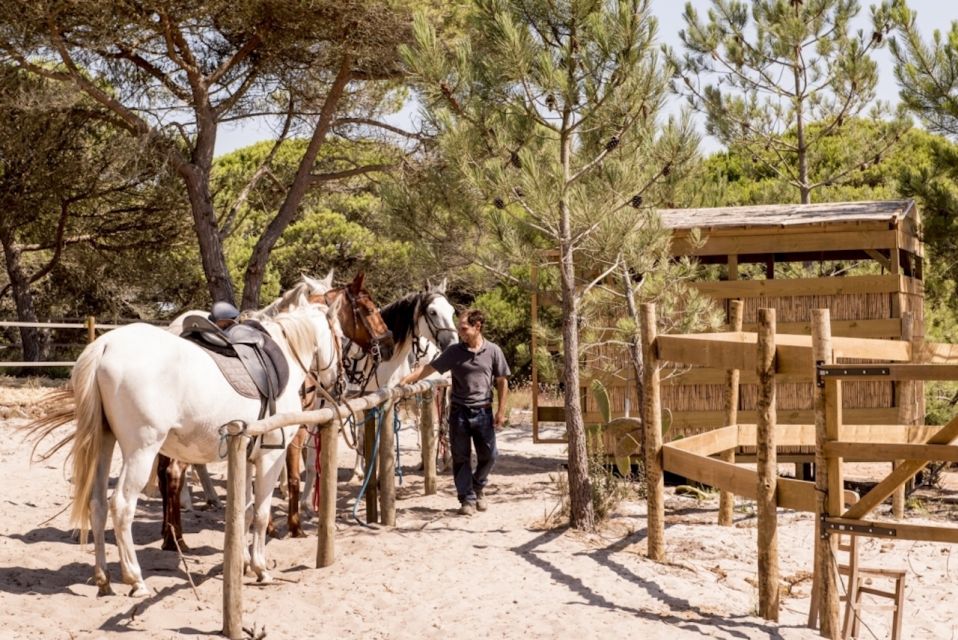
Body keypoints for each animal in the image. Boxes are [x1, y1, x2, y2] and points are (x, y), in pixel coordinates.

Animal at [21, 302, 344, 596]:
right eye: (341, 335)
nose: (339, 383)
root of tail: (104, 344)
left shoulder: (246, 456)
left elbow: (246, 512)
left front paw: (241, 563)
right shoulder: (271, 457)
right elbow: (262, 514)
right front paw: (260, 569)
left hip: (104, 443)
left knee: (98, 504)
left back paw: (103, 579)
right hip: (142, 451)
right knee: (122, 506)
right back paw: (135, 579)